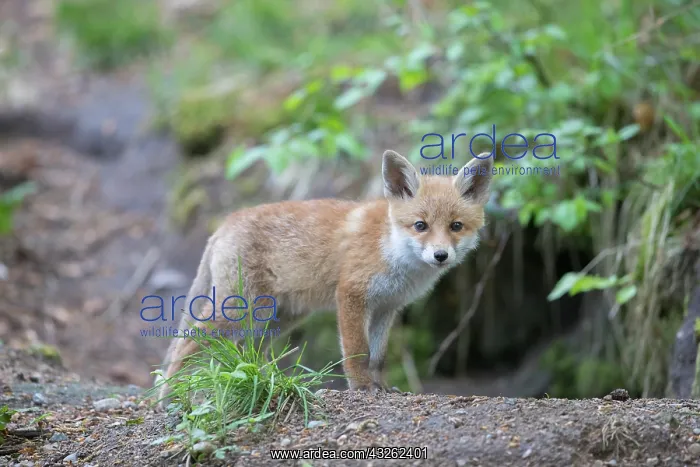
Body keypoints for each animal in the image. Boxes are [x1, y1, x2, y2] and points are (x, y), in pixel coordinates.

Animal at [156, 149, 493, 405]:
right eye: (421, 226)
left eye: (456, 226)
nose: (441, 255)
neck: (391, 249)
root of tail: (224, 224)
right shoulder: (352, 295)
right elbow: (358, 351)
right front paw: (361, 388)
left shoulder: (387, 307)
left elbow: (378, 356)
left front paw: (381, 387)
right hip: (242, 309)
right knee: (186, 343)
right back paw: (170, 397)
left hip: (275, 318)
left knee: (246, 350)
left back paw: (264, 381)